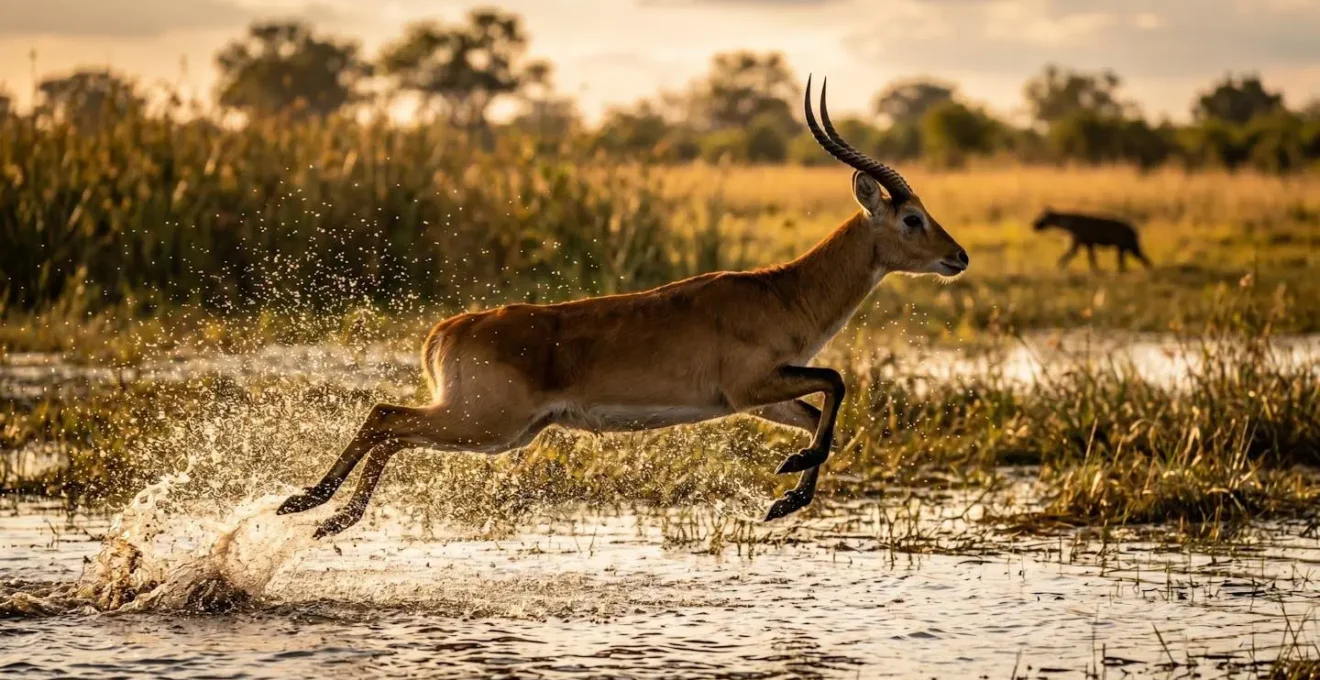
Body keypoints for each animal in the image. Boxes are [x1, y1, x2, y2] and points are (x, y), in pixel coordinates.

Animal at [277, 76, 969, 538]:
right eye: (911, 217)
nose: (958, 256)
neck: (783, 293)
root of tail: (450, 327)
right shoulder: (751, 386)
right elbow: (838, 382)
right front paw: (790, 482)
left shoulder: (759, 399)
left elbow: (822, 414)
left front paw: (785, 499)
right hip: (485, 423)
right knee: (384, 416)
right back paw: (312, 506)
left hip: (497, 432)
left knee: (389, 427)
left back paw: (322, 515)